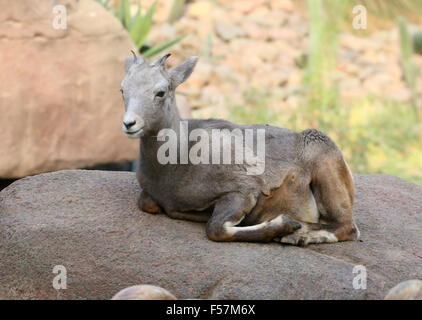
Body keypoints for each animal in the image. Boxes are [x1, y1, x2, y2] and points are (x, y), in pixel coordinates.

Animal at [119, 53, 360, 245]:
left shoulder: (241, 193)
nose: (129, 124)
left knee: (346, 227)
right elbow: (148, 204)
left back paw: (297, 235)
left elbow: (216, 229)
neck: (176, 163)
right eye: (122, 90)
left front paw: (286, 225)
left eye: (160, 92)